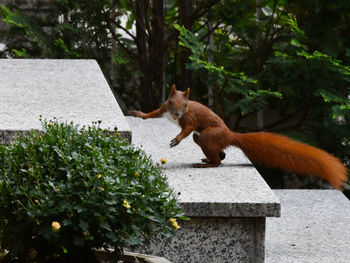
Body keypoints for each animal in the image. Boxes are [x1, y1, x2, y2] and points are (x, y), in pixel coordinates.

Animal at [130, 84, 348, 190]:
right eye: (170, 102)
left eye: (185, 105)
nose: (176, 115)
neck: (175, 116)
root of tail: (230, 134)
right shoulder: (162, 110)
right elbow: (152, 114)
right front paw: (138, 114)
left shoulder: (190, 119)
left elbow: (186, 129)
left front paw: (176, 139)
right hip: (202, 139)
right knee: (221, 155)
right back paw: (206, 159)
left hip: (207, 135)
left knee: (218, 159)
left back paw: (206, 163)